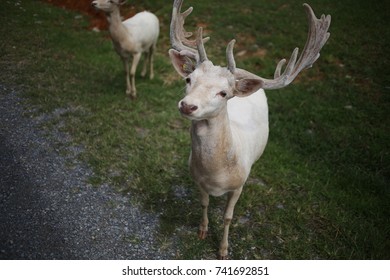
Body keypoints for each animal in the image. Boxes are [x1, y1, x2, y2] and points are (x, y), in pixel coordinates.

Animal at [169, 0, 330, 260]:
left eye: (224, 93)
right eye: (188, 79)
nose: (188, 105)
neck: (216, 175)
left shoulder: (238, 185)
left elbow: (227, 217)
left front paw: (223, 249)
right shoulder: (197, 180)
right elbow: (203, 204)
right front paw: (202, 231)